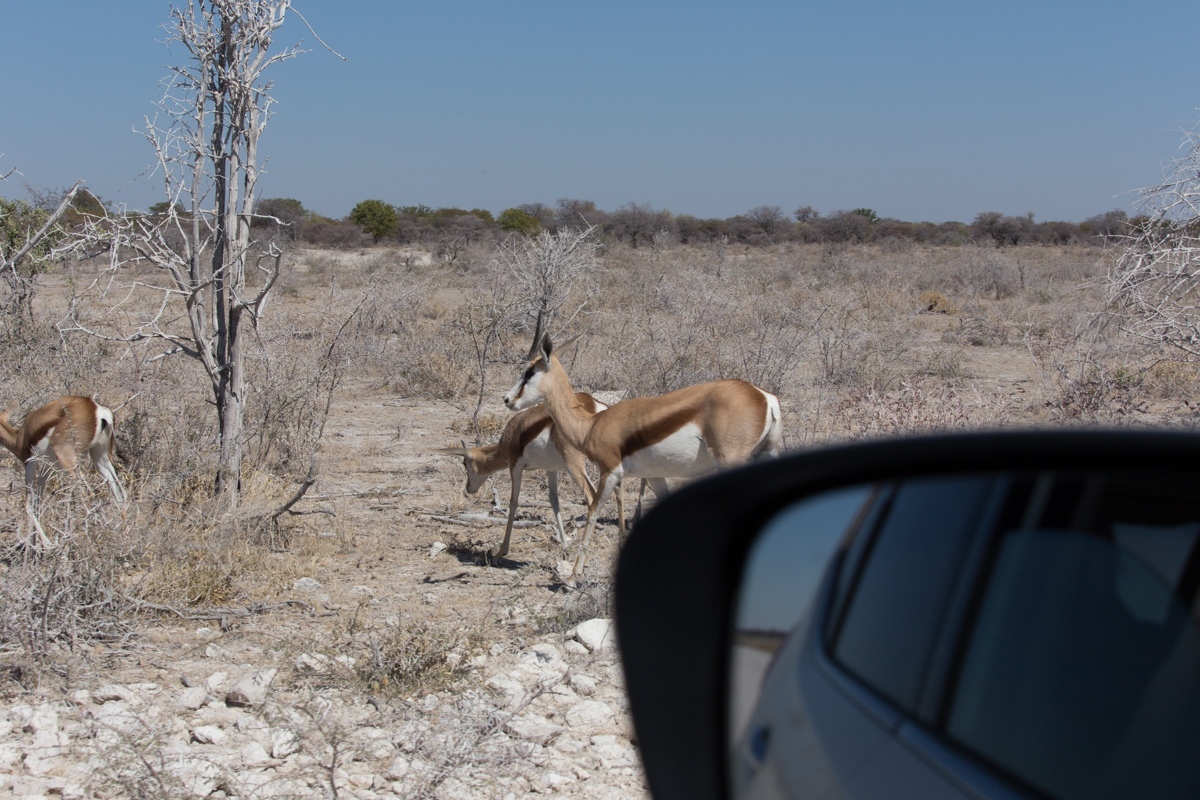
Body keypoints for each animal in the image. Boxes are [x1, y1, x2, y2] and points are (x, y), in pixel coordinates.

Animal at [0, 395, 127, 546]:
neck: (20, 437)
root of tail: (97, 409)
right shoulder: (48, 468)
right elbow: (38, 502)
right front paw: (35, 546)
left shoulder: (30, 464)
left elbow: (28, 505)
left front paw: (47, 545)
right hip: (100, 457)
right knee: (120, 494)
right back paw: (123, 535)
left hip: (69, 462)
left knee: (88, 493)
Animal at [504, 335, 777, 585]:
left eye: (529, 372)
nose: (507, 399)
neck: (591, 425)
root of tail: (764, 397)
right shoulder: (654, 476)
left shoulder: (610, 471)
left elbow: (592, 511)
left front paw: (572, 577)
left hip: (731, 463)